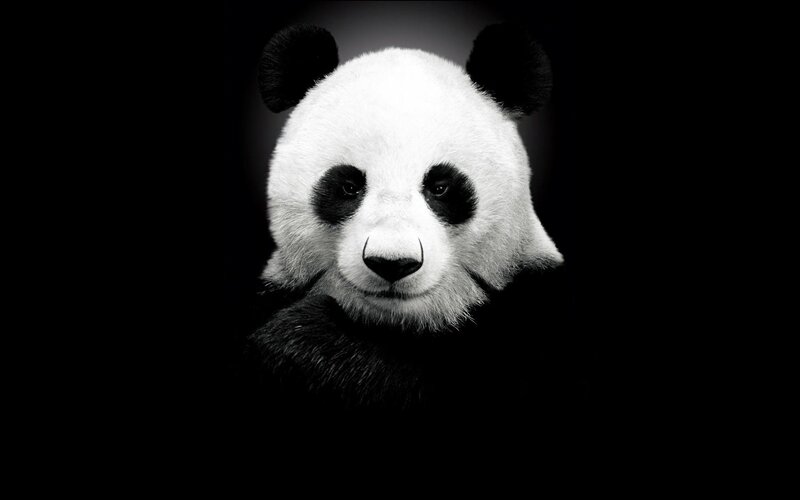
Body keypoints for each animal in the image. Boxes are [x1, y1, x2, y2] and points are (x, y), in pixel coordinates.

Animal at [244, 23, 576, 414]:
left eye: (441, 187)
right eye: (349, 186)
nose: (392, 263)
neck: (396, 325)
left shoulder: (533, 312)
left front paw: (303, 341)